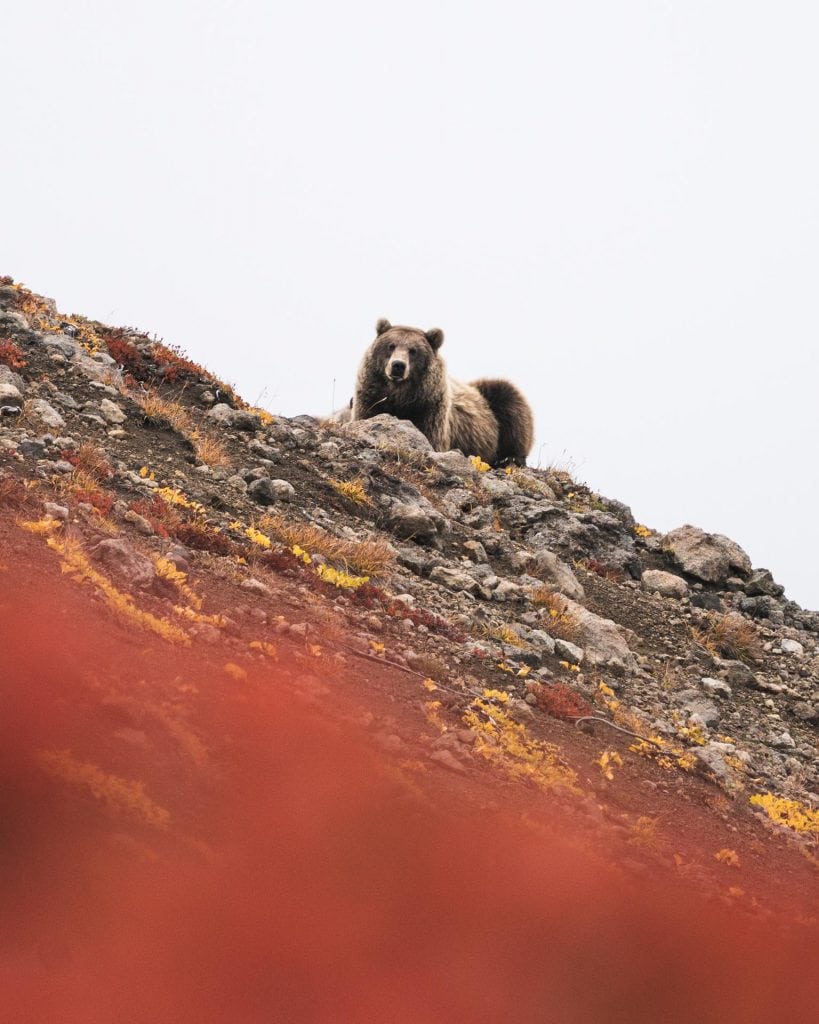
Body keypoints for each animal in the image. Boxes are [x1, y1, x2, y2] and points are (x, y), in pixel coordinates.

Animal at [350, 319, 534, 467]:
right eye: (390, 346)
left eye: (413, 350)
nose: (398, 365)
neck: (399, 395)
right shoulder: (371, 399)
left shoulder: (429, 408)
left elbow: (431, 438)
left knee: (510, 402)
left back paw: (509, 458)